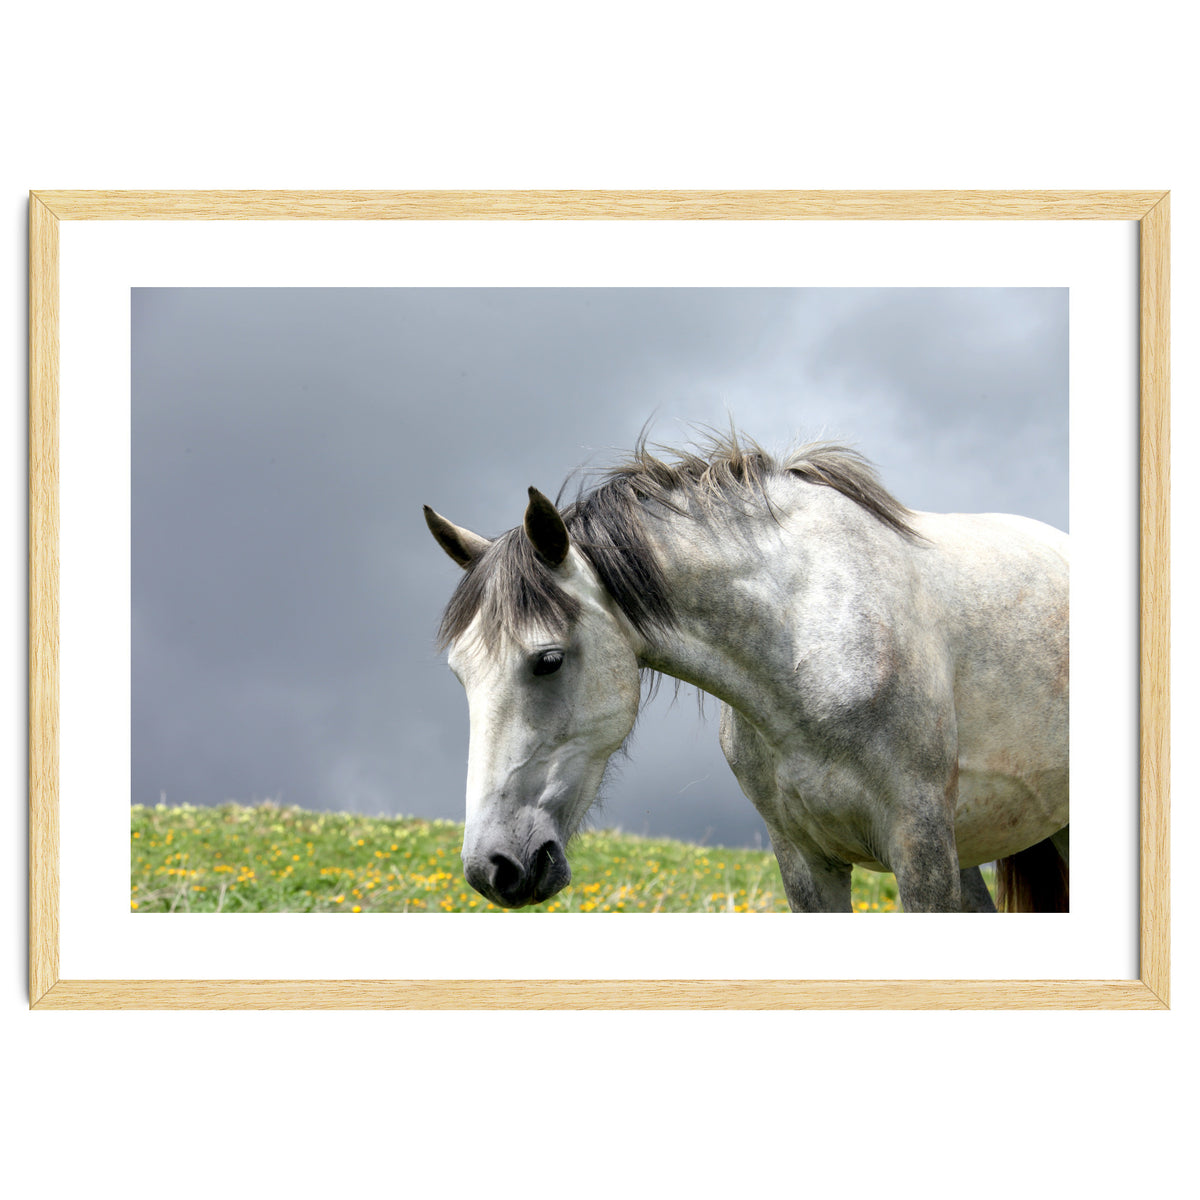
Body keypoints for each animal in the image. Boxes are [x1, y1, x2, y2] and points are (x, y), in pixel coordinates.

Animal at [424, 433, 1069, 913]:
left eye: (549, 660)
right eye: (459, 675)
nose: (493, 868)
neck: (807, 644)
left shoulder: (921, 847)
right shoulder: (805, 861)